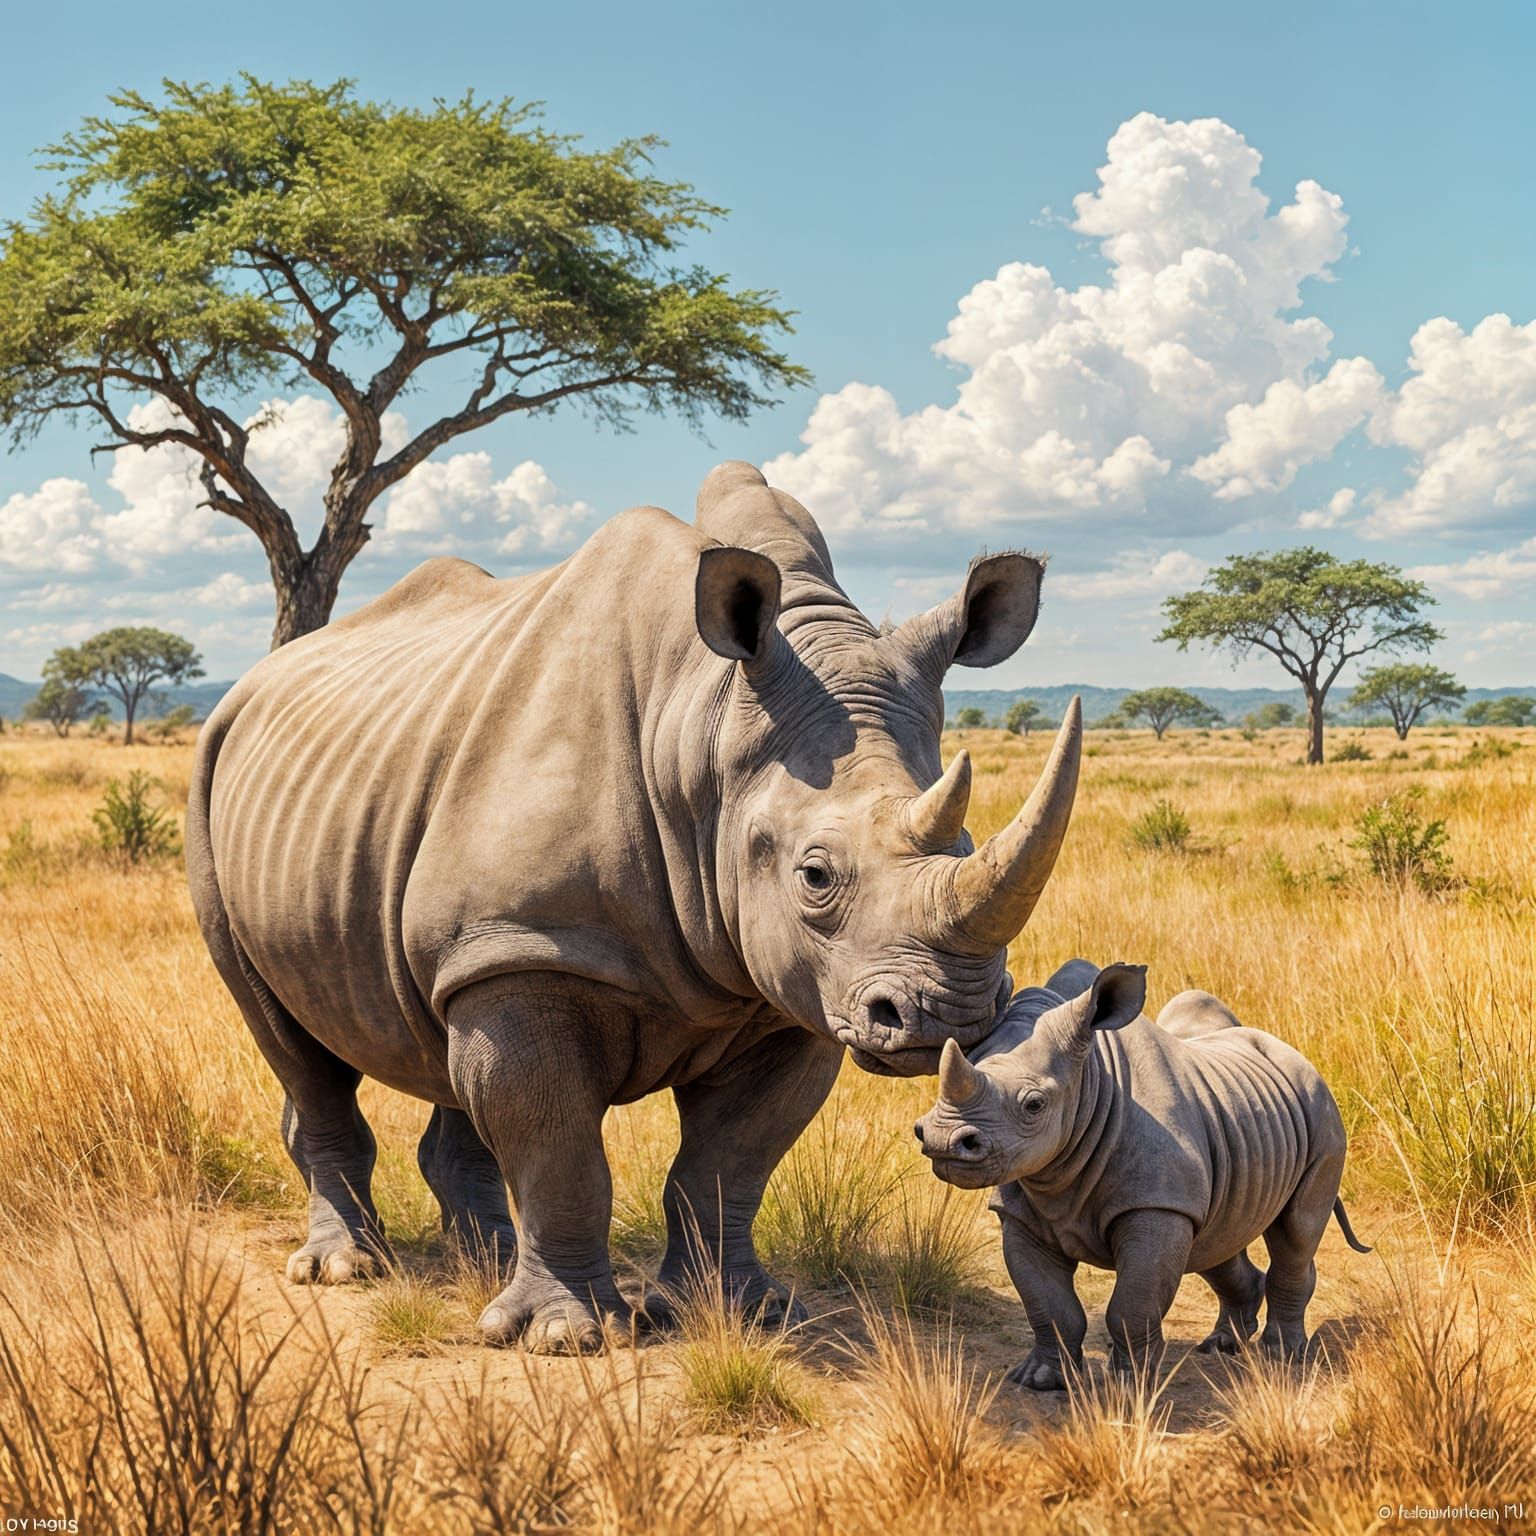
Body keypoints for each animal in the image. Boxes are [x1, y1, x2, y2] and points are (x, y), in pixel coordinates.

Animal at [187, 460, 1083, 1354]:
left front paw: (740, 1313)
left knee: (442, 1030)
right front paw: (565, 1338)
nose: (953, 1015)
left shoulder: (788, 989)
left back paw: (485, 1260)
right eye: (815, 875)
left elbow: (731, 1160)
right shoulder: (533, 947)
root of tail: (255, 684)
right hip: (216, 772)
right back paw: (344, 1270)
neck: (702, 728)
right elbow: (559, 1150)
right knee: (288, 1037)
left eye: (966, 844)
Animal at [914, 960, 1369, 1385]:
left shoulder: (1157, 1205)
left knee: (1295, 1230)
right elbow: (1048, 1304)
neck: (1091, 1084)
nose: (941, 1139)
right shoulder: (1022, 1213)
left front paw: (1131, 1385)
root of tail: (1297, 1057)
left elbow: (1133, 1303)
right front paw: (1041, 1379)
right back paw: (1222, 1346)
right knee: (1216, 1241)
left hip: (1320, 1111)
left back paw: (1284, 1356)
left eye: (1034, 1105)